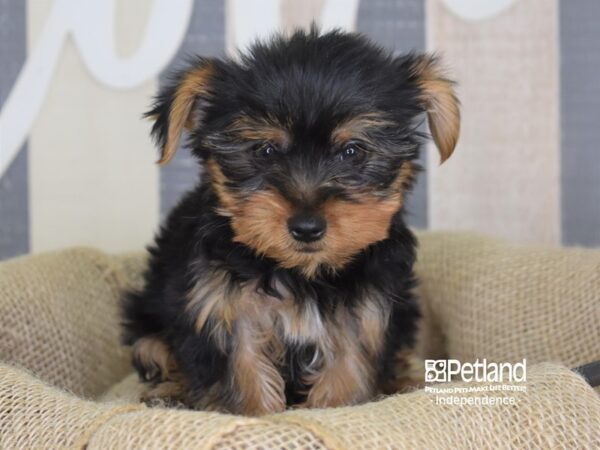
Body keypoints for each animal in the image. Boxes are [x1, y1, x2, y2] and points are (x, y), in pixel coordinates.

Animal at [120, 27, 460, 414]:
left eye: (352, 151)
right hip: (147, 315)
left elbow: (348, 368)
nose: (307, 227)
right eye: (265, 151)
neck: (301, 273)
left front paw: (335, 407)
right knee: (154, 348)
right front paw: (255, 413)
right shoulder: (222, 307)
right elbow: (243, 370)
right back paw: (169, 392)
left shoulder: (366, 312)